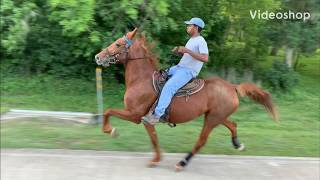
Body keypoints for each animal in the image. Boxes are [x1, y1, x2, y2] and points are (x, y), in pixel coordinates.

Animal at [94, 27, 278, 171]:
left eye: (118, 44)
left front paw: (110, 130)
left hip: (212, 119)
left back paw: (182, 163)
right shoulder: (143, 119)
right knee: (232, 124)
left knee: (201, 141)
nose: (98, 56)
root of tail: (232, 87)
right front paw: (156, 159)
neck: (141, 80)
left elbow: (109, 111)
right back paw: (237, 144)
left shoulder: (135, 115)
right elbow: (154, 138)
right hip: (216, 116)